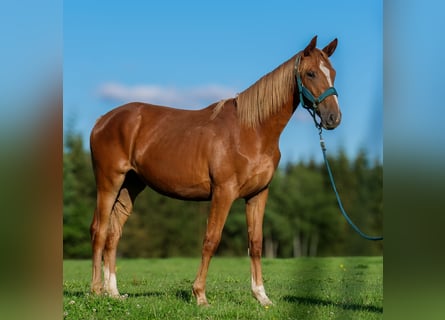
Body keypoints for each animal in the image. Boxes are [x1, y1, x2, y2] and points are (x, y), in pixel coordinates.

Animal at [89, 35, 340, 304]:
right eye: (311, 73)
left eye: (333, 73)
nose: (334, 118)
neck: (251, 131)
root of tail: (103, 120)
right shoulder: (223, 192)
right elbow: (211, 239)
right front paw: (200, 295)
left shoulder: (258, 194)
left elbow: (256, 242)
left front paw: (262, 297)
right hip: (108, 183)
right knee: (99, 230)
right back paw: (96, 290)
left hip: (130, 186)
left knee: (114, 234)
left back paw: (113, 292)